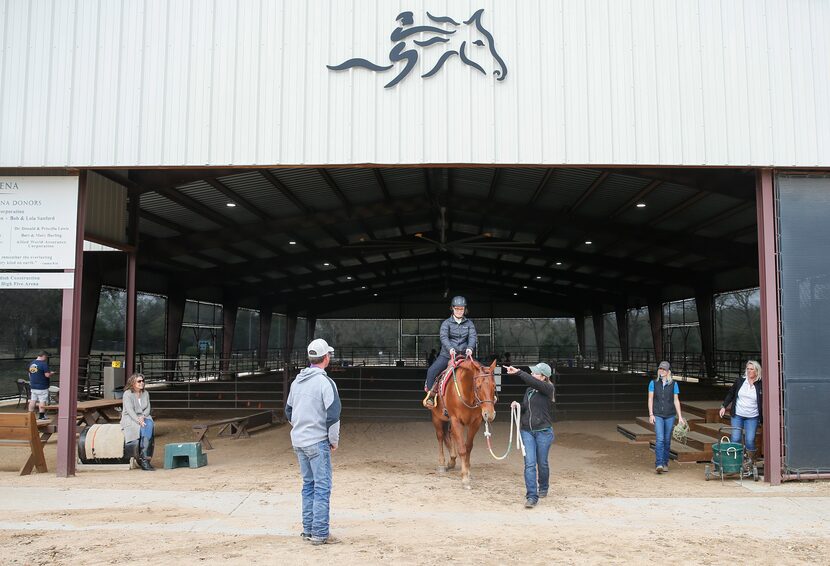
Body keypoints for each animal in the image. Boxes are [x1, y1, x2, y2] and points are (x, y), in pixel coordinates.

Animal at [432, 358, 498, 490]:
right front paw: (465, 479)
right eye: (478, 386)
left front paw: (468, 471)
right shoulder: (456, 420)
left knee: (450, 434)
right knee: (440, 436)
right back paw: (442, 464)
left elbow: (468, 447)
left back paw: (452, 460)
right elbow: (462, 449)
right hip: (437, 417)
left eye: (494, 386)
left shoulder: (475, 422)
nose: (489, 414)